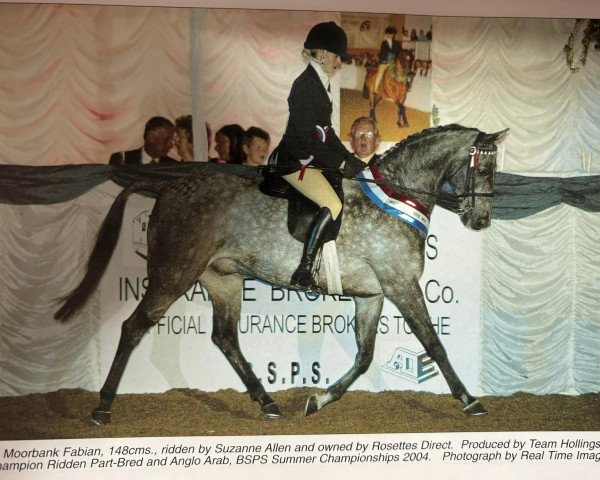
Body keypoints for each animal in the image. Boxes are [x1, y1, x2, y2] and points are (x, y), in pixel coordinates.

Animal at [55, 124, 506, 424]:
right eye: (483, 170)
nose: (481, 221)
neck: (395, 197)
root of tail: (164, 189)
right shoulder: (401, 285)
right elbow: (434, 344)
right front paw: (470, 400)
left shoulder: (372, 295)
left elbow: (364, 356)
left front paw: (318, 400)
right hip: (173, 274)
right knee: (134, 327)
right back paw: (102, 407)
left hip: (223, 279)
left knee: (224, 337)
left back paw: (268, 403)